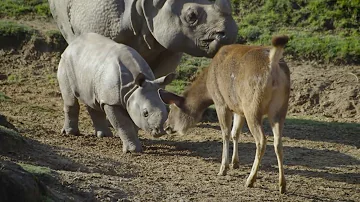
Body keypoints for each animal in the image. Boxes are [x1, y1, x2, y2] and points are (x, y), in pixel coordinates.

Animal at [162, 35, 292, 193]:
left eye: (171, 109)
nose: (166, 126)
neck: (208, 86)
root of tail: (273, 63)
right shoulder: (238, 107)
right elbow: (235, 133)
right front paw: (235, 163)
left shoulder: (221, 102)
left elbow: (225, 133)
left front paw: (223, 168)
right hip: (280, 109)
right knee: (278, 142)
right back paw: (282, 185)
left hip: (252, 107)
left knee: (262, 140)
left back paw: (250, 180)